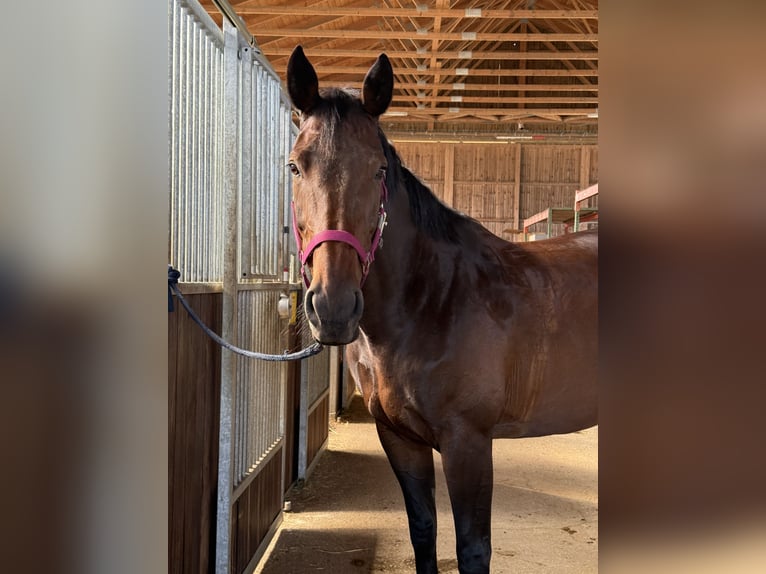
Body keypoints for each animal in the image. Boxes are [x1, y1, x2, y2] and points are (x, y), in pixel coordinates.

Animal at [286, 45, 598, 574]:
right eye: (295, 167)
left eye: (378, 170)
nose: (333, 307)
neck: (430, 300)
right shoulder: (400, 439)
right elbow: (423, 530)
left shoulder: (467, 442)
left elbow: (472, 548)